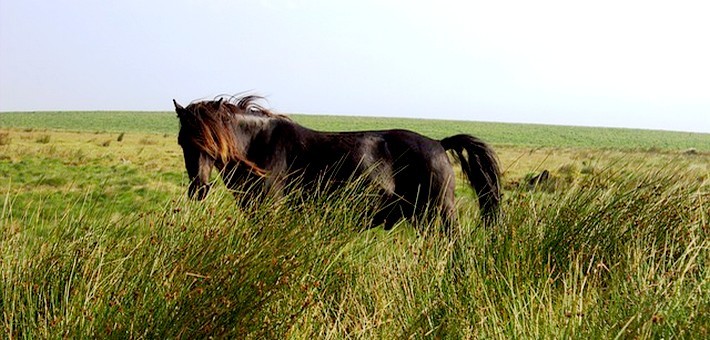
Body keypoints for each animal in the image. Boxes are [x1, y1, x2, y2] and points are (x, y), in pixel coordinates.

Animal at [175, 94, 504, 230]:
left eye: (210, 143)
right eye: (183, 142)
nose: (199, 188)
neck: (260, 145)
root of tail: (438, 143)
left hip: (441, 214)